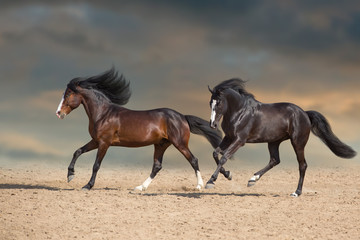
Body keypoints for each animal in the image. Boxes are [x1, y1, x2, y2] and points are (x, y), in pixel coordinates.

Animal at [54, 68, 224, 191]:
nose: (58, 113)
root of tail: (182, 116)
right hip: (161, 144)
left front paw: (87, 185)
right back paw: (140, 187)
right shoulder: (96, 141)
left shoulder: (104, 143)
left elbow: (96, 165)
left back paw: (200, 186)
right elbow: (77, 151)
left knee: (193, 160)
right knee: (157, 166)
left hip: (179, 144)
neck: (103, 114)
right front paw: (70, 175)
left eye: (68, 94)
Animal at [205, 79, 358, 197]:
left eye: (218, 102)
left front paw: (211, 181)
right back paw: (252, 179)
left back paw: (296, 192)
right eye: (210, 103)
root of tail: (304, 113)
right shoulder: (229, 137)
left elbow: (224, 157)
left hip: (297, 143)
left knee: (302, 165)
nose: (212, 125)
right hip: (273, 142)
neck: (240, 112)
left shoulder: (239, 140)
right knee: (275, 160)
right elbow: (215, 153)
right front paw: (228, 174)